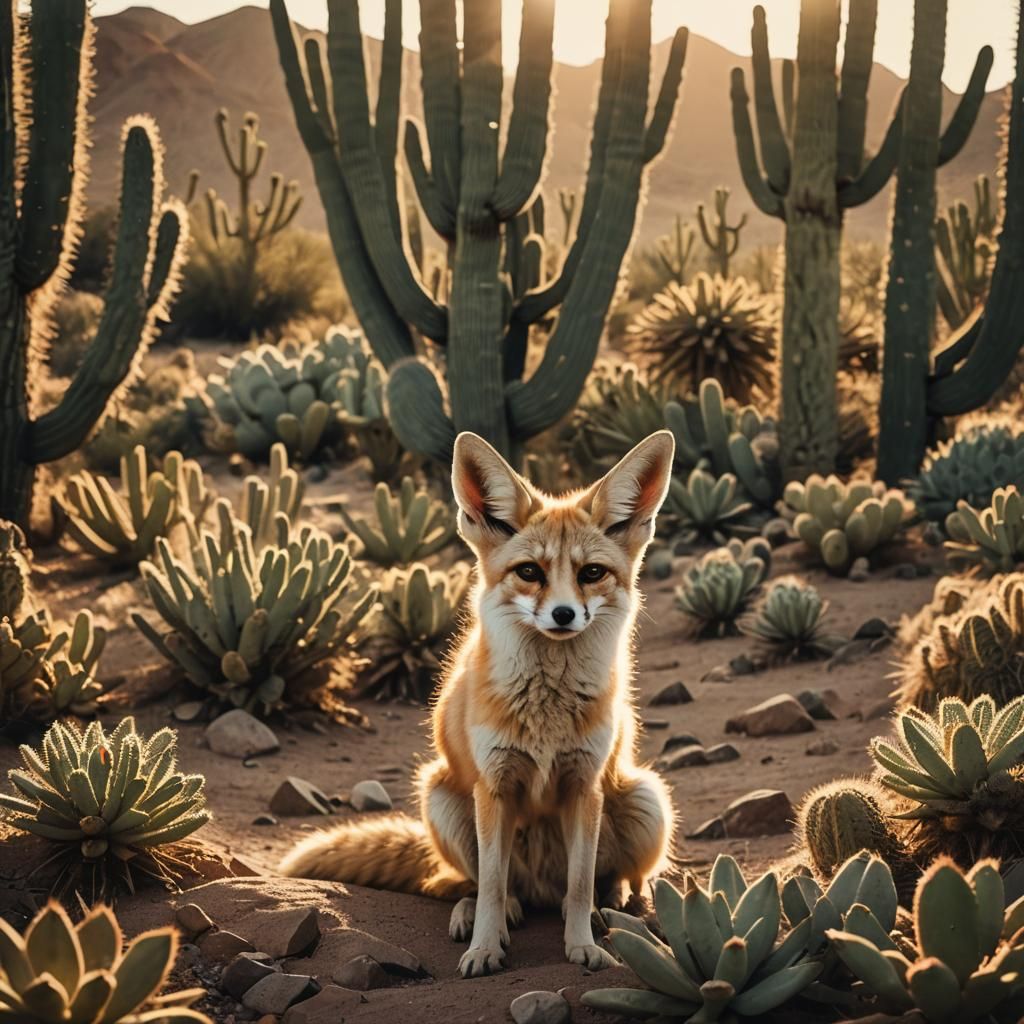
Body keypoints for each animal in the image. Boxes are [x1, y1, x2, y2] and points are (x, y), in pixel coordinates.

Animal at [280, 429, 677, 977]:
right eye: (529, 571)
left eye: (592, 572)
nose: (564, 614)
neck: (547, 710)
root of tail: (539, 889)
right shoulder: (494, 787)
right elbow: (490, 882)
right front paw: (485, 948)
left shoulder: (584, 786)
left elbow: (579, 886)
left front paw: (582, 946)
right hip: (442, 798)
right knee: (479, 885)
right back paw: (483, 914)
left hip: (646, 799)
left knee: (606, 883)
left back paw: (613, 904)